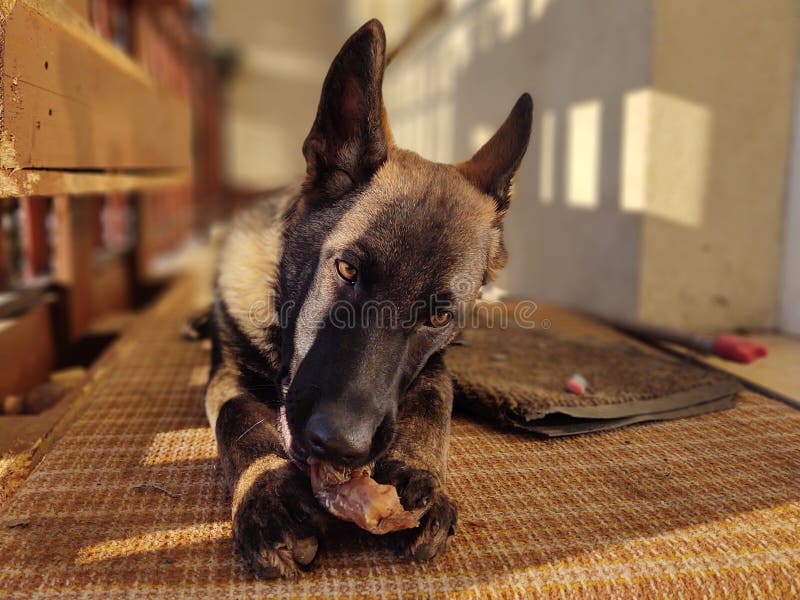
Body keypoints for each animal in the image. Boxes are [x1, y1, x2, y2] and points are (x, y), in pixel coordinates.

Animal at [206, 18, 532, 580]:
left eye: (439, 314)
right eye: (347, 269)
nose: (342, 445)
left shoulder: (435, 369)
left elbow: (432, 410)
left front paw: (413, 471)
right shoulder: (227, 374)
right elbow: (241, 419)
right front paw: (267, 491)